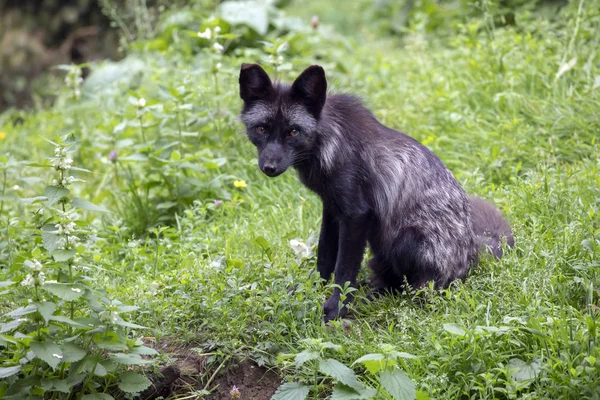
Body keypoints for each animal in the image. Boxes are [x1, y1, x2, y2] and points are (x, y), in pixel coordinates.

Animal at [237, 64, 512, 324]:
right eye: (261, 129)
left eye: (293, 132)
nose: (269, 167)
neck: (329, 142)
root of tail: (473, 255)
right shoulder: (332, 207)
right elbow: (324, 257)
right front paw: (312, 290)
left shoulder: (356, 215)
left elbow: (344, 270)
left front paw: (335, 309)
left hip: (407, 241)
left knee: (416, 292)